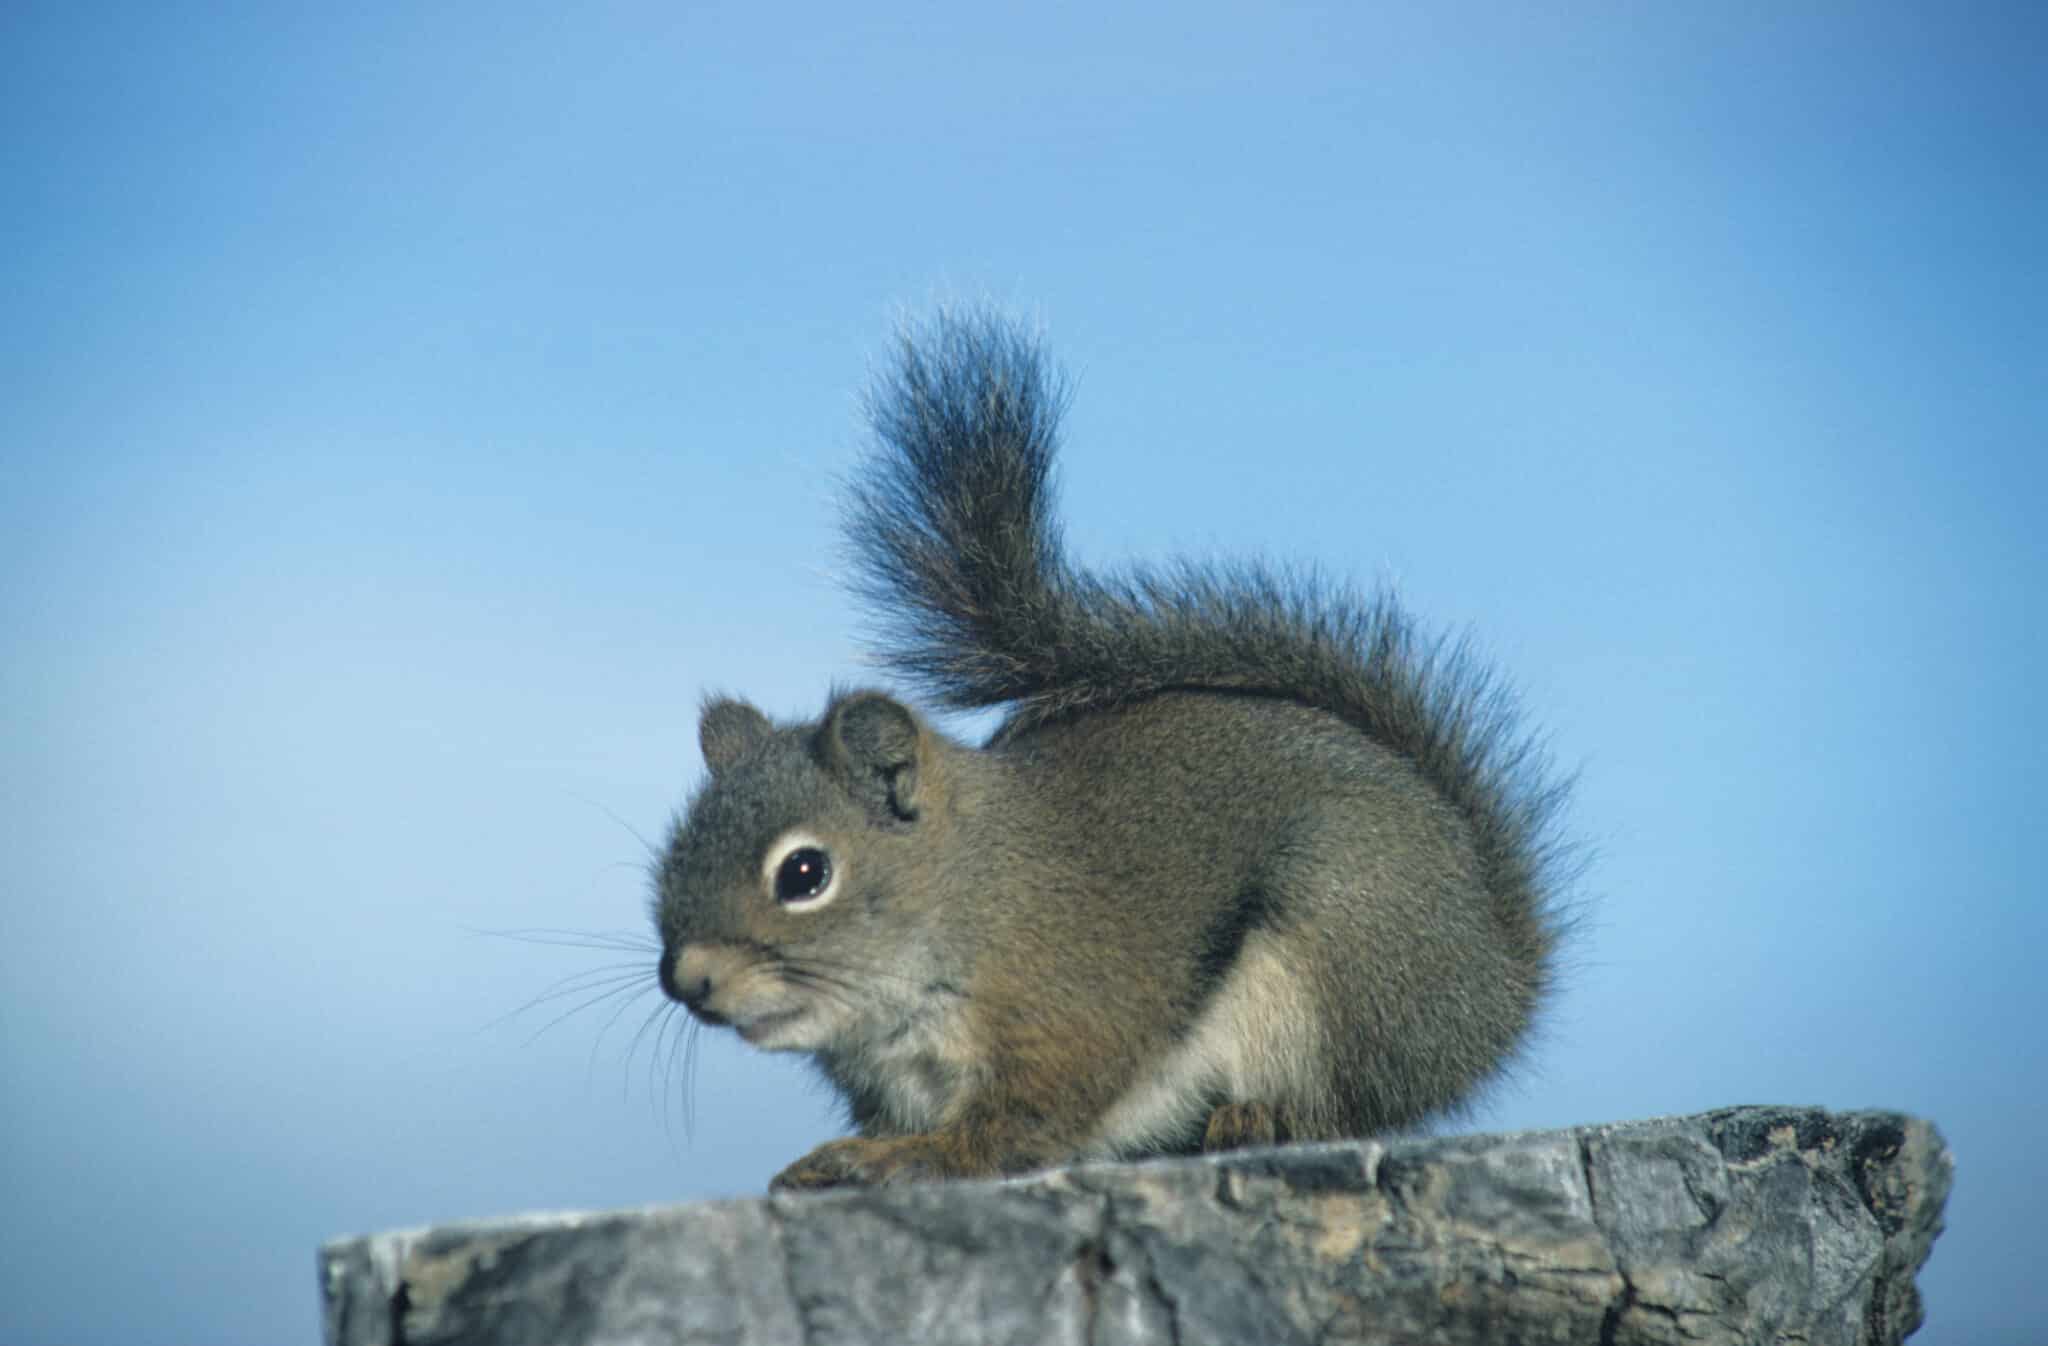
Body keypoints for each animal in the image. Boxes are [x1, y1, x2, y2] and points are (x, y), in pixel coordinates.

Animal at [652, 310, 1573, 1190]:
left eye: (804, 874)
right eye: (670, 858)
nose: (687, 979)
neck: (968, 895)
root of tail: (1496, 987)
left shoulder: (1068, 1015)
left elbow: (1007, 1131)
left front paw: (900, 1161)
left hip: (1343, 940)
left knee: (1351, 1104)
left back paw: (1265, 1117)